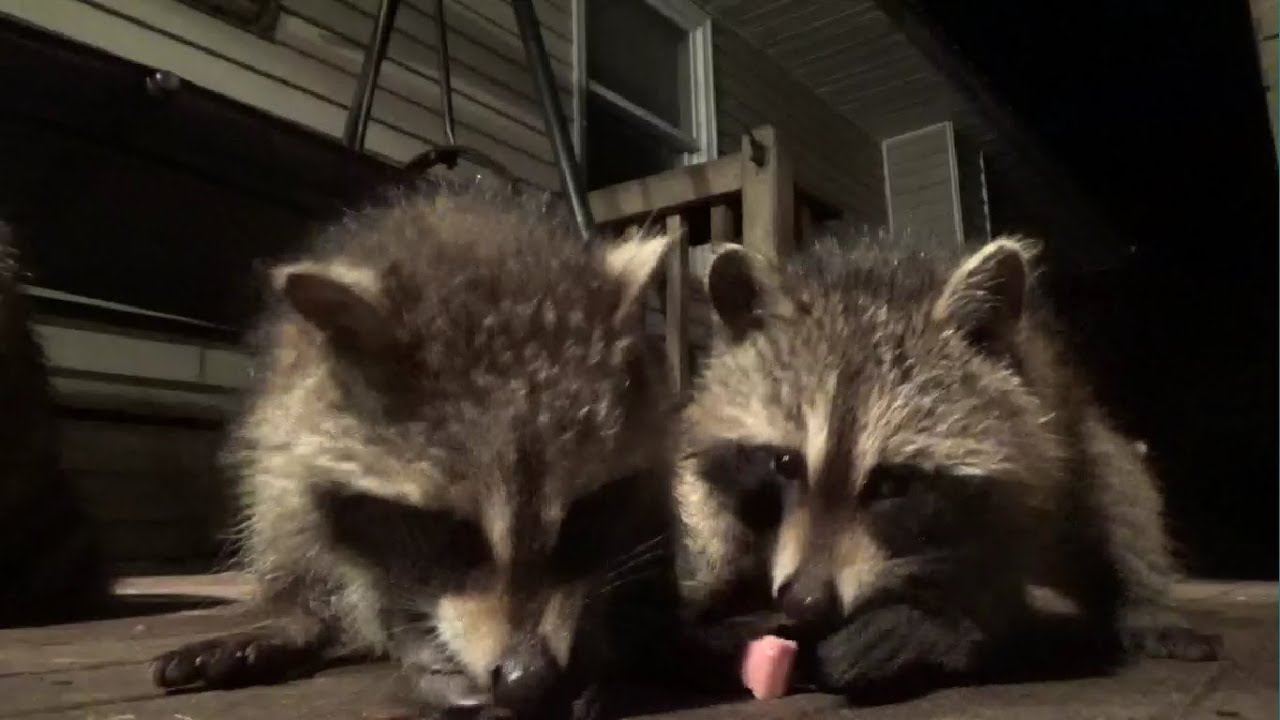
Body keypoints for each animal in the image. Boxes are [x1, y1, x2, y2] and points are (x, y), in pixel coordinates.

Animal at [149, 179, 679, 718]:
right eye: (455, 532)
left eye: (582, 516)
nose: (527, 679)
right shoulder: (311, 433)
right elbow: (357, 560)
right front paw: (408, 634)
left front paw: (596, 637)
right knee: (280, 512)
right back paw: (298, 618)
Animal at [673, 234, 1220, 697]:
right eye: (784, 463)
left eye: (892, 483)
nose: (805, 603)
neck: (867, 280)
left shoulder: (1036, 462)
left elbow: (1012, 576)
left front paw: (942, 624)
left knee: (1119, 486)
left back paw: (1144, 600)